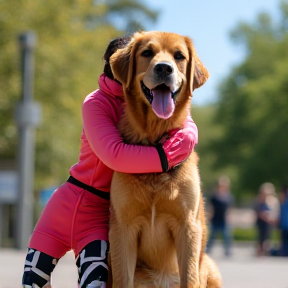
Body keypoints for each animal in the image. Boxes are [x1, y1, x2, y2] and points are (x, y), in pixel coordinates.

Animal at [107, 31, 220, 288]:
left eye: (179, 56)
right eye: (147, 52)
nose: (164, 69)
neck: (155, 139)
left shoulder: (187, 226)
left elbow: (189, 277)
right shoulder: (123, 228)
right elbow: (123, 278)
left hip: (211, 268)